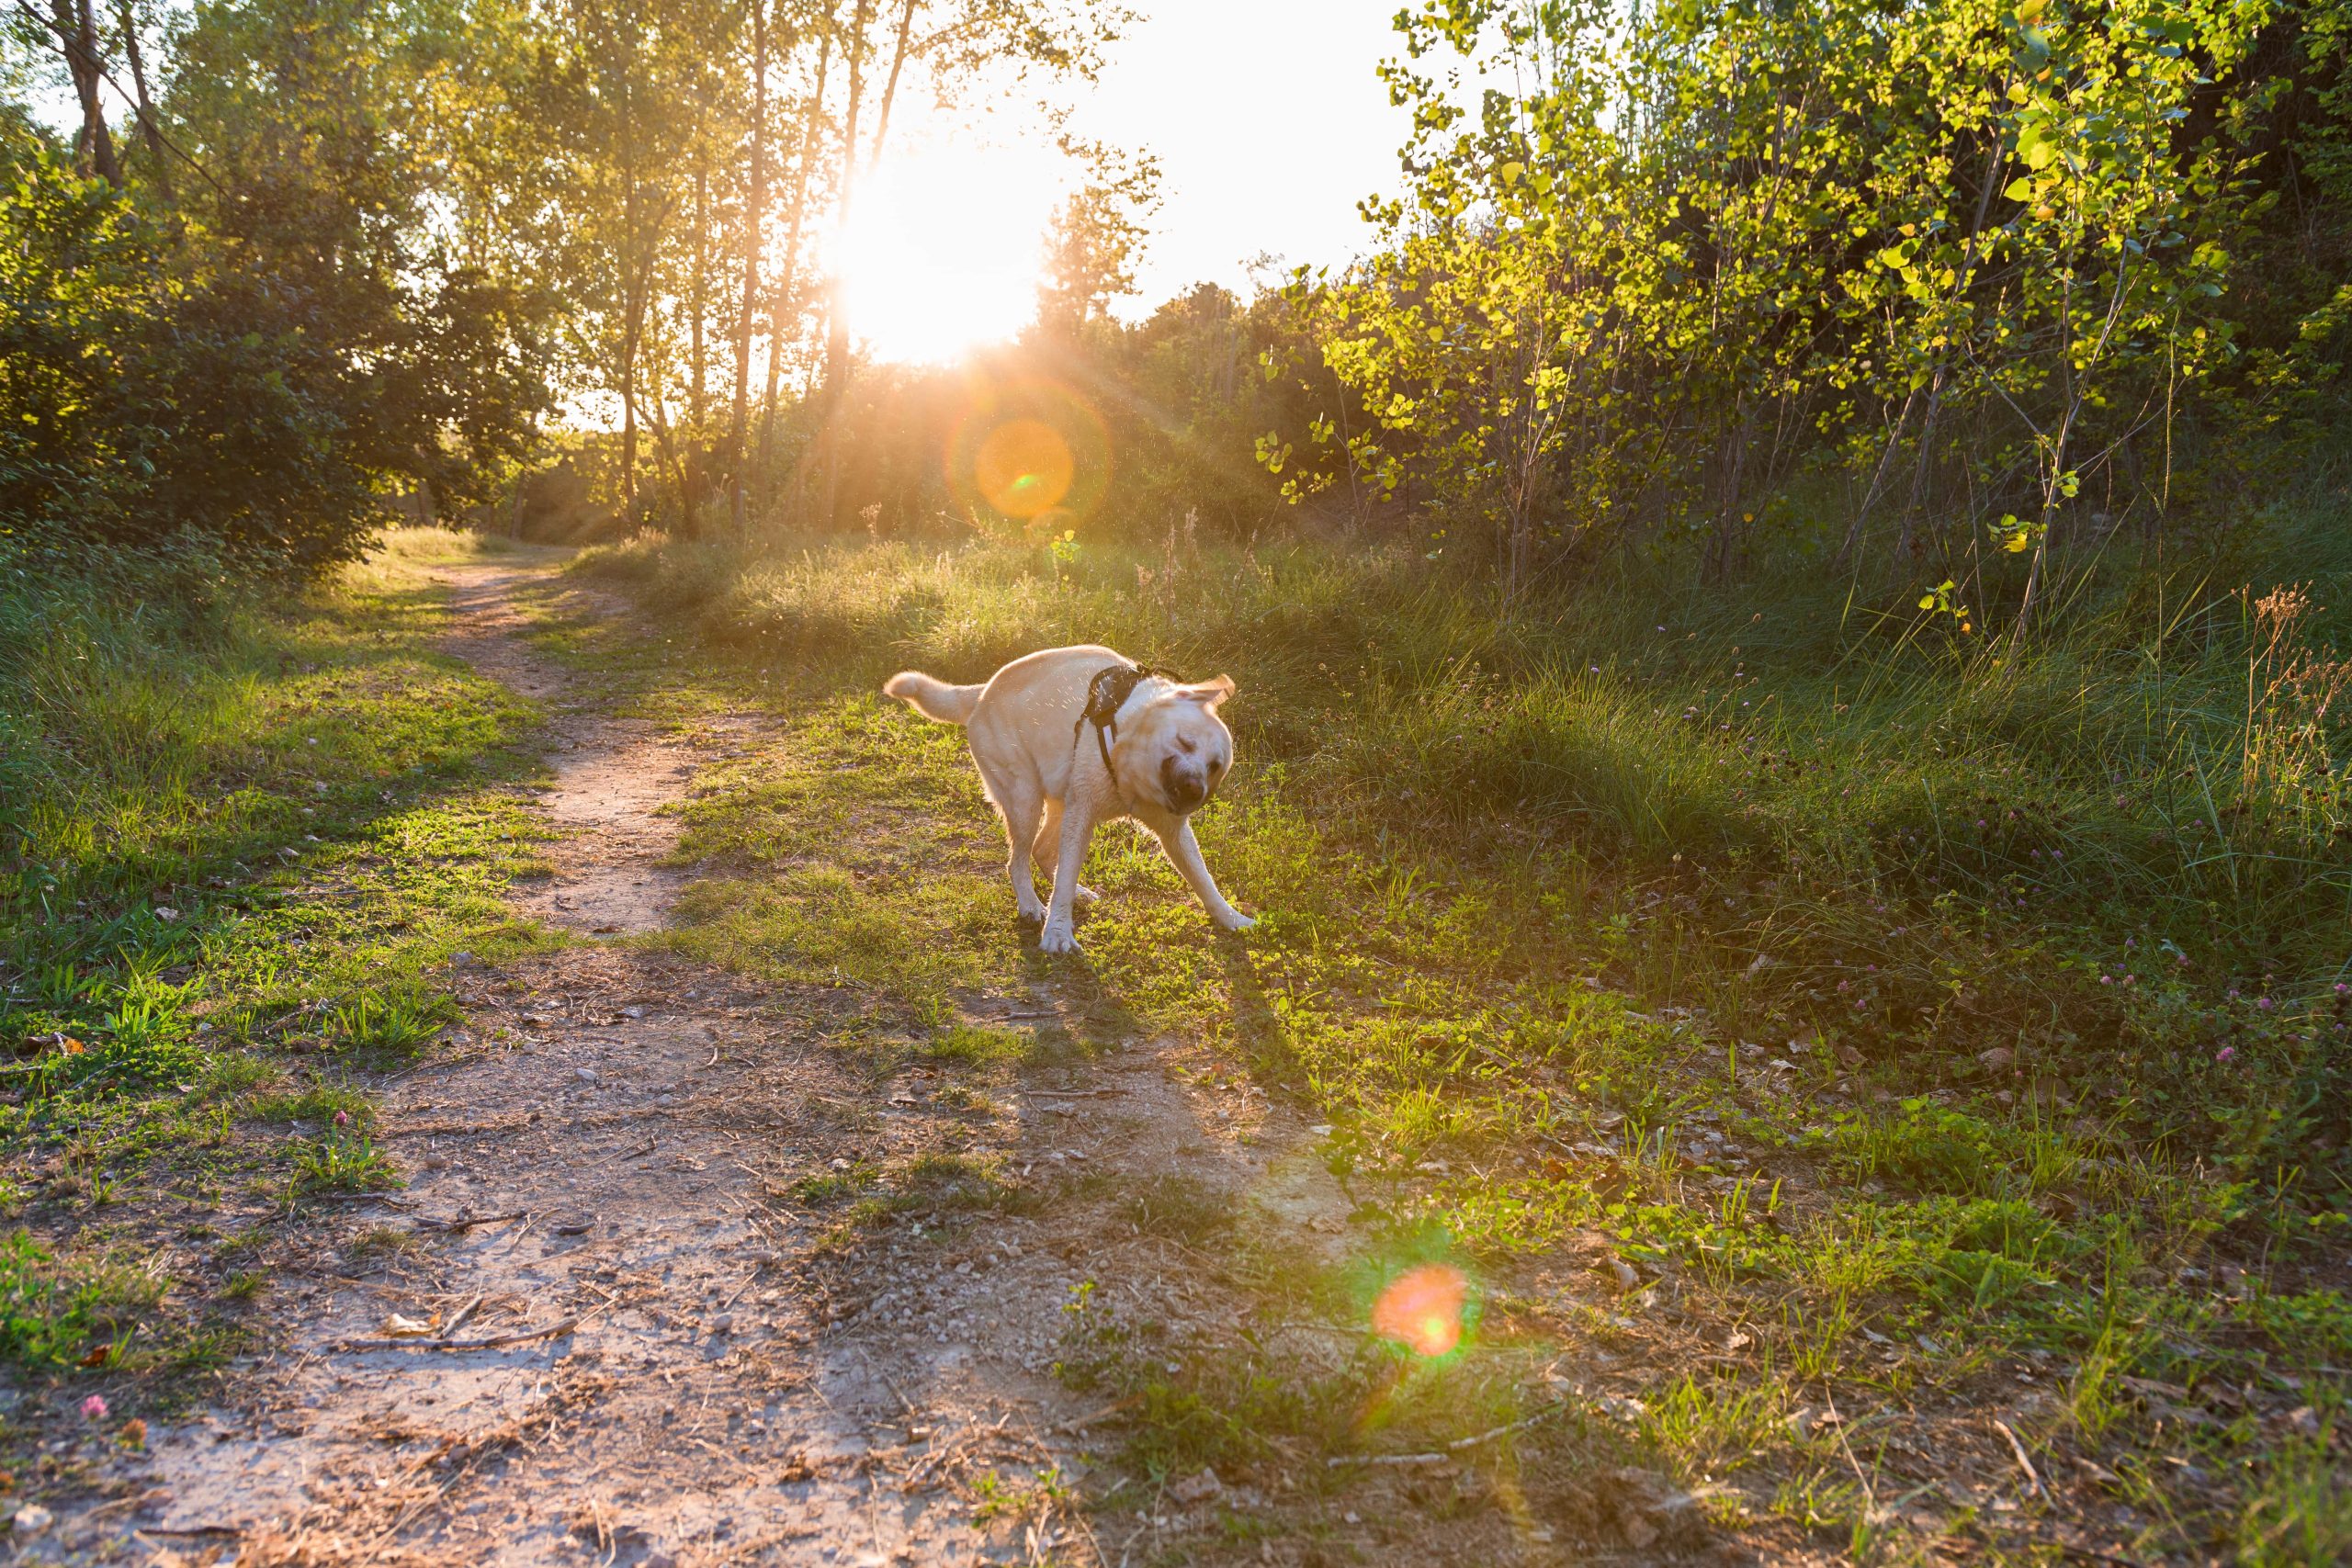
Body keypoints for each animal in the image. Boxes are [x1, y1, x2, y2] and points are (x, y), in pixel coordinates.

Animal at [884, 644, 1250, 949]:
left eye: (1215, 766)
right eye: (1185, 742)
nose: (1195, 791)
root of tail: (982, 690)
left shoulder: (1172, 832)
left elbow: (1203, 879)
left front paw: (1231, 918)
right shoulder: (1082, 813)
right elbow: (1064, 875)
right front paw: (1058, 932)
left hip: (1058, 802)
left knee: (1043, 852)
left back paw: (1076, 893)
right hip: (1025, 801)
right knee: (1018, 861)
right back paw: (1031, 905)